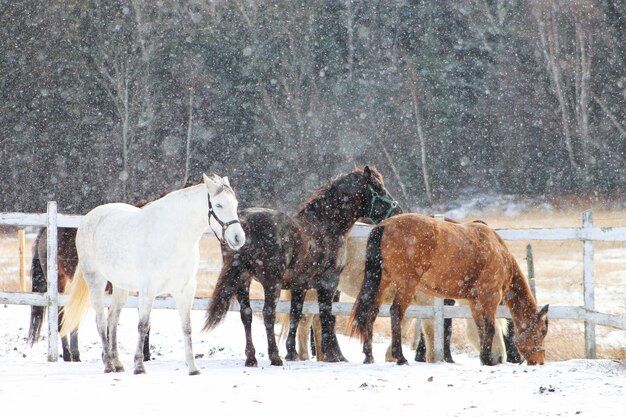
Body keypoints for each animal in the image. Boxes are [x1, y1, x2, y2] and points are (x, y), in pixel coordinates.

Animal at [59, 172, 243, 374]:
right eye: (218, 205)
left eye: (235, 204)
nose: (238, 238)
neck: (174, 238)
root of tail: (88, 219)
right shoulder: (148, 290)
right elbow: (143, 326)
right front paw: (139, 366)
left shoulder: (185, 290)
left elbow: (187, 327)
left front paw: (193, 368)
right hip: (96, 281)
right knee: (101, 321)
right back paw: (108, 364)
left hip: (120, 286)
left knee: (113, 319)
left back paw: (117, 363)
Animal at [205, 164, 400, 366]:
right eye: (378, 188)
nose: (397, 212)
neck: (326, 225)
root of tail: (244, 226)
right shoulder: (329, 283)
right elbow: (326, 316)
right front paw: (331, 356)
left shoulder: (300, 286)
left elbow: (296, 315)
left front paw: (292, 353)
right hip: (271, 282)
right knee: (268, 313)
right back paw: (274, 357)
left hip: (243, 280)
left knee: (247, 314)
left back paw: (251, 358)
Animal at [348, 213, 548, 366]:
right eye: (542, 331)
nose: (539, 361)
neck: (498, 251)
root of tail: (384, 225)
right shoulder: (490, 297)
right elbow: (490, 328)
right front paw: (487, 360)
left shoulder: (475, 302)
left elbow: (480, 328)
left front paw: (484, 358)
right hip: (406, 285)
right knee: (396, 313)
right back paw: (400, 357)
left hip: (382, 282)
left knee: (371, 312)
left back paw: (369, 356)